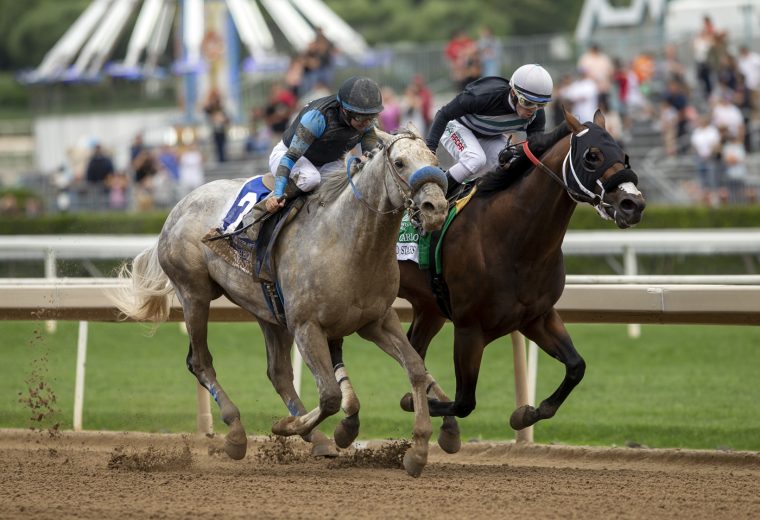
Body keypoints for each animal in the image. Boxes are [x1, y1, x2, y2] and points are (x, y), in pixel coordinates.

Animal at [110, 128, 448, 478]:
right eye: (400, 162)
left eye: (435, 159)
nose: (435, 207)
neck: (349, 242)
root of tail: (179, 207)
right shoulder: (307, 326)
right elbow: (329, 395)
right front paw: (288, 426)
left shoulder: (376, 320)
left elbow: (416, 369)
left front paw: (418, 450)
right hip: (194, 294)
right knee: (200, 362)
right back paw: (237, 433)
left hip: (267, 310)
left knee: (279, 373)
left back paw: (317, 439)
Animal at [398, 108, 648, 446]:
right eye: (592, 156)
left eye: (624, 155)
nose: (633, 205)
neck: (514, 240)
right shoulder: (469, 329)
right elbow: (464, 402)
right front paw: (415, 404)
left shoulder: (536, 317)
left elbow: (576, 366)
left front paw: (526, 414)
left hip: (430, 309)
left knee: (413, 350)